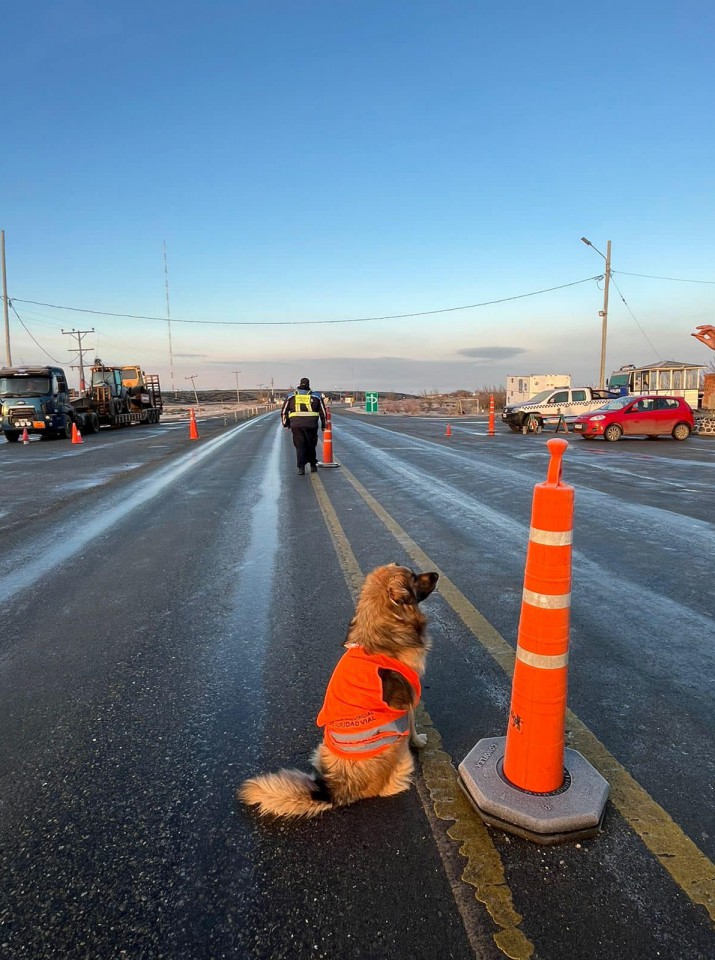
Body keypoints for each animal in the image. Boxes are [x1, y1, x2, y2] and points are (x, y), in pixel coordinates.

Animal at [241, 564, 440, 816]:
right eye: (414, 577)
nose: (437, 575)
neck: (385, 621)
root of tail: (338, 789)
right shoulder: (409, 697)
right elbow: (413, 725)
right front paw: (419, 741)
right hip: (396, 743)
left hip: (323, 748)